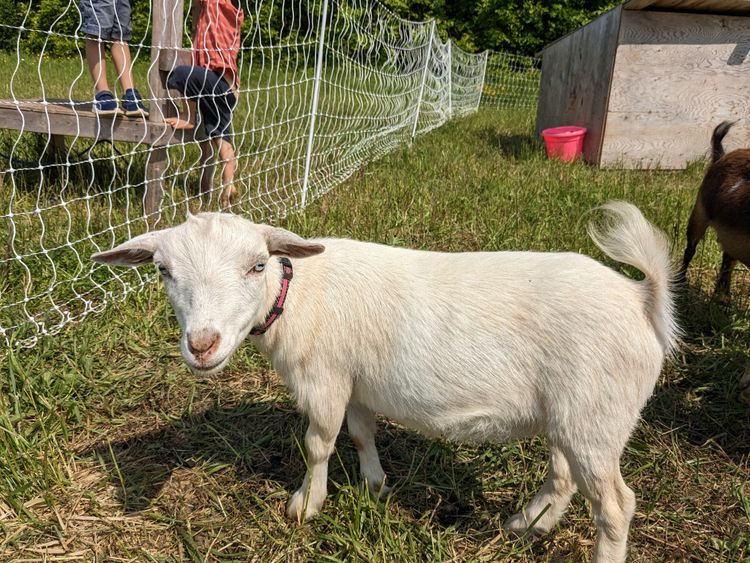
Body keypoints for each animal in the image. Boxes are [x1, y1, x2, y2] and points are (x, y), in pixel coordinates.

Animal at [92, 203, 680, 563]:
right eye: (164, 271)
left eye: (258, 265)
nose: (202, 345)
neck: (296, 299)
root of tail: (641, 299)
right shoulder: (356, 382)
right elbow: (360, 434)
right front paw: (374, 486)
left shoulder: (325, 379)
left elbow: (317, 444)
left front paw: (305, 505)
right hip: (575, 413)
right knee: (563, 476)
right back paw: (525, 525)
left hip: (597, 414)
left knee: (615, 505)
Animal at [680, 121, 750, 298]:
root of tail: (722, 156)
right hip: (699, 212)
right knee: (690, 249)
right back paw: (681, 282)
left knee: (728, 258)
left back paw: (722, 297)